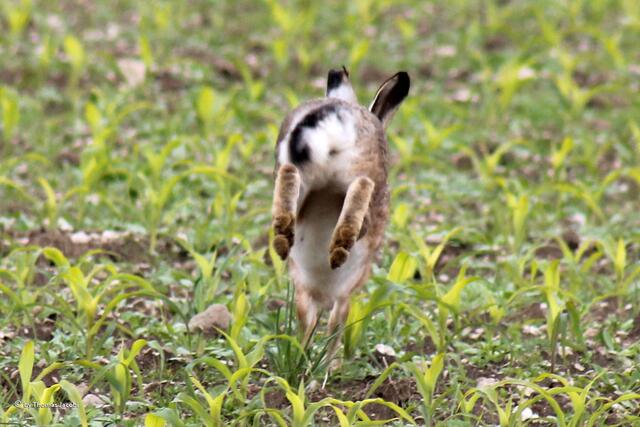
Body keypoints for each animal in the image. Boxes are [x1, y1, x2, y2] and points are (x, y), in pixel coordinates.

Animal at [271, 66, 410, 366]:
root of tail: (340, 114)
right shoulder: (345, 295)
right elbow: (335, 326)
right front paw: (329, 365)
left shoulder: (305, 294)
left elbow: (309, 323)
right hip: (364, 171)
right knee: (362, 187)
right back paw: (340, 247)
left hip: (300, 173)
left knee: (288, 177)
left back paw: (282, 239)